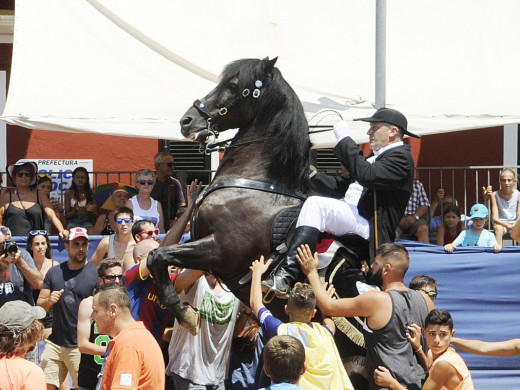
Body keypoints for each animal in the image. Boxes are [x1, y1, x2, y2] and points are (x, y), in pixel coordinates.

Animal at [147, 55, 366, 332]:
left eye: (232, 85)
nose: (187, 121)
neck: (252, 182)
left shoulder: (220, 250)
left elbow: (157, 255)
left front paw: (182, 310)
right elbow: (155, 256)